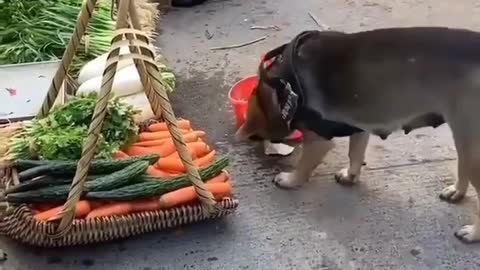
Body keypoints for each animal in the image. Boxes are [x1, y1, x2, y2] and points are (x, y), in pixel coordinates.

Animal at [237, 27, 480, 243]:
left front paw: (290, 180)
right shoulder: (359, 127)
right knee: (463, 168)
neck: (283, 84)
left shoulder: (318, 141)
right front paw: (350, 175)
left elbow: (304, 166)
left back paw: (473, 233)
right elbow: (355, 153)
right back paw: (457, 192)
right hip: (464, 140)